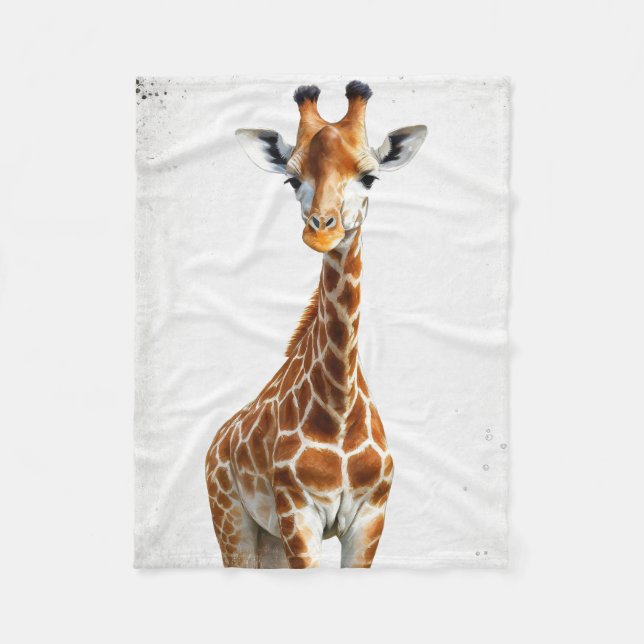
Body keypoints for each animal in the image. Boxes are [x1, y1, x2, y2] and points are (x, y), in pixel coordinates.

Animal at [205, 81, 427, 568]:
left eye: (370, 177)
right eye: (292, 179)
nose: (321, 230)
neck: (339, 411)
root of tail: (216, 441)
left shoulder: (370, 517)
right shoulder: (298, 514)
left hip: (269, 538)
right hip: (232, 521)